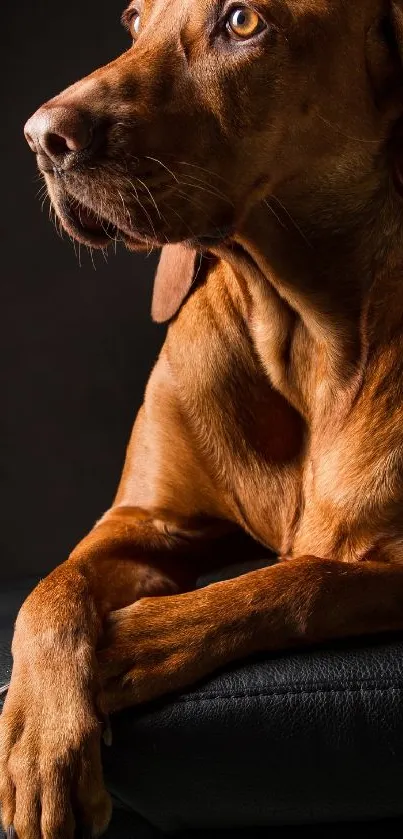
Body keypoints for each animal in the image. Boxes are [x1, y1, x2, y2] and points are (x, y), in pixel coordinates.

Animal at [2, 0, 403, 836]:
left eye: (243, 21)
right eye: (132, 19)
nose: (40, 137)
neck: (303, 327)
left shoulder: (377, 564)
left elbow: (301, 580)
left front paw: (131, 640)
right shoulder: (141, 523)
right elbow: (49, 592)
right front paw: (38, 734)